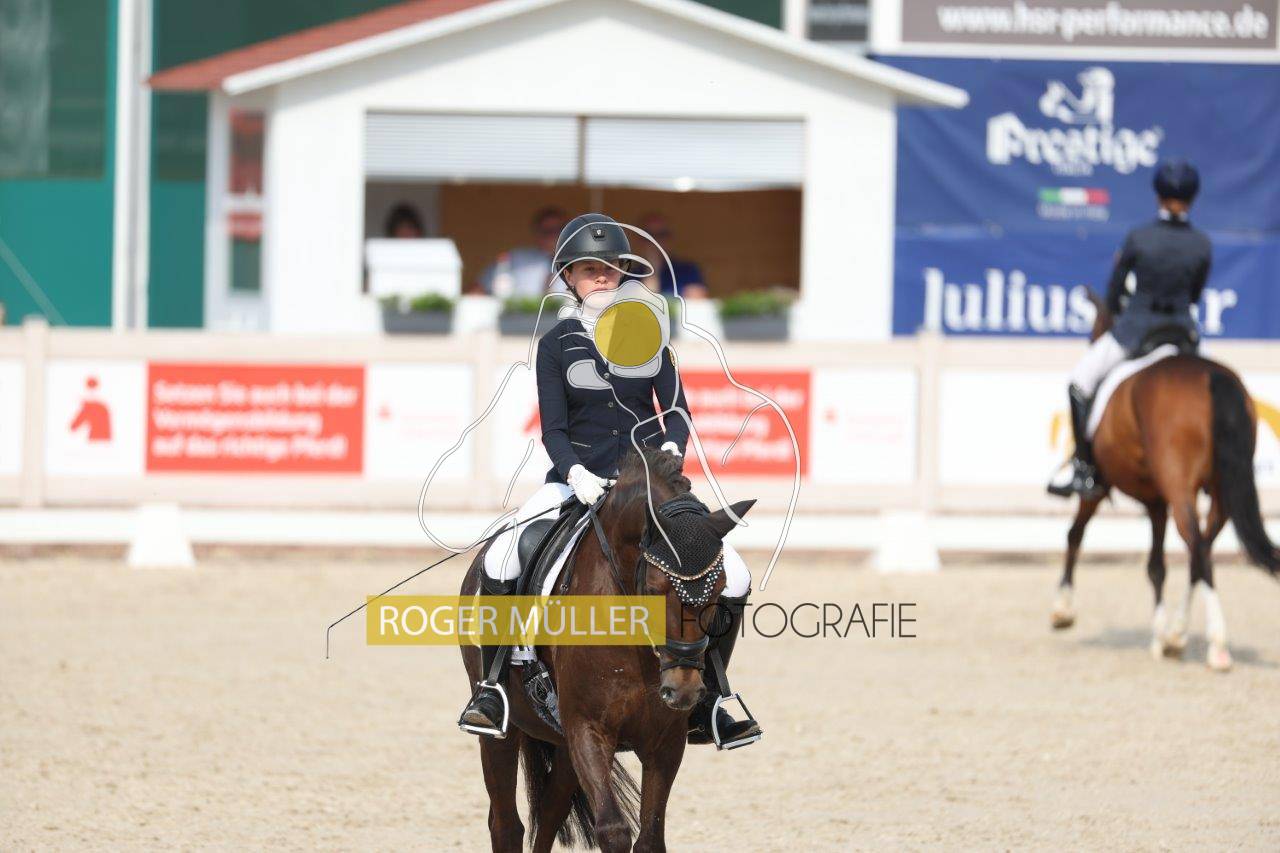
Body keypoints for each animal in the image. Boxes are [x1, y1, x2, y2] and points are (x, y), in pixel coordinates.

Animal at [459, 446, 755, 851]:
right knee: (506, 824)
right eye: (654, 588)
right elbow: (613, 830)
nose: (683, 691)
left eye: (720, 589)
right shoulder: (588, 728)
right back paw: (486, 707)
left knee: (549, 812)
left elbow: (650, 836)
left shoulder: (665, 741)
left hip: (562, 742)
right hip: (505, 732)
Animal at [1050, 292, 1280, 670]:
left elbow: (1074, 535)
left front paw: (1062, 611)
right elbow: (1156, 566)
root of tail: (1211, 375)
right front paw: (1160, 637)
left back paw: (1216, 644)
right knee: (1202, 547)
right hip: (1220, 493)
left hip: (1179, 487)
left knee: (1196, 544)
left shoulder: (1099, 488)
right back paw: (1178, 633)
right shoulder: (1156, 502)